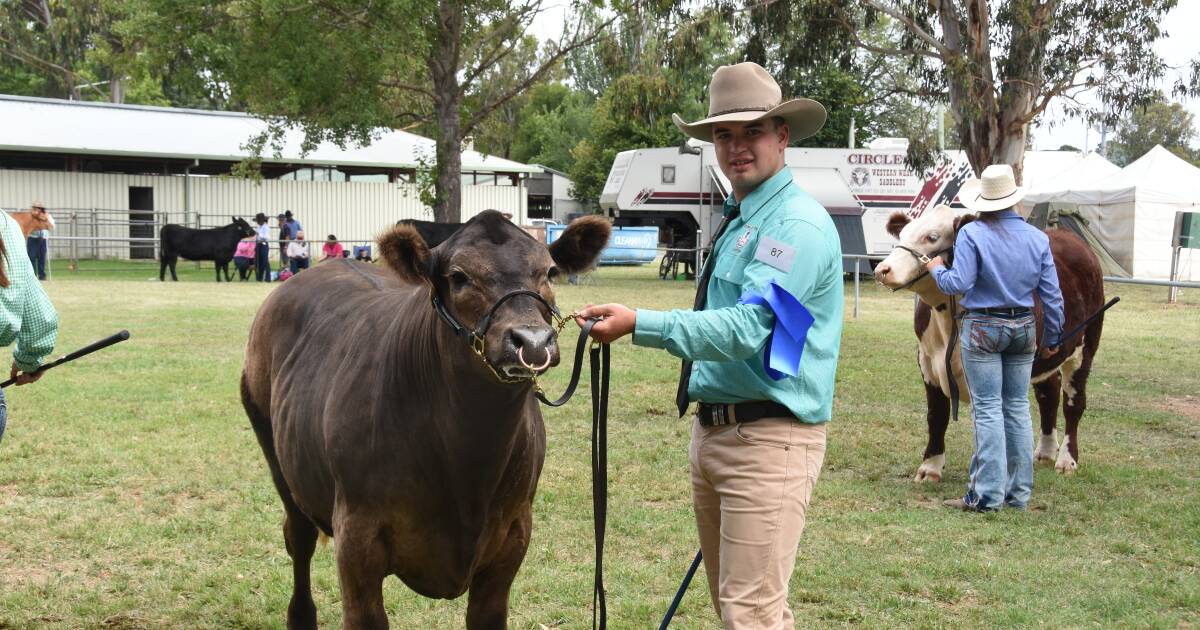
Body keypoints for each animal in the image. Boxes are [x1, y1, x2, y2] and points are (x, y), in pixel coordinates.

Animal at [240, 211, 609, 628]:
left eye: (549, 272)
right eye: (460, 277)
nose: (532, 342)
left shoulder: (513, 534)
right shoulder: (356, 538)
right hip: (274, 447)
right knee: (299, 536)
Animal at [873, 204, 1104, 480]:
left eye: (932, 237)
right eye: (903, 233)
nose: (882, 269)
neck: (947, 325)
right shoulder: (927, 362)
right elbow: (936, 415)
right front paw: (930, 468)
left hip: (1085, 347)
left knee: (1074, 403)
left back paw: (1067, 460)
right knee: (1048, 393)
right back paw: (1045, 452)